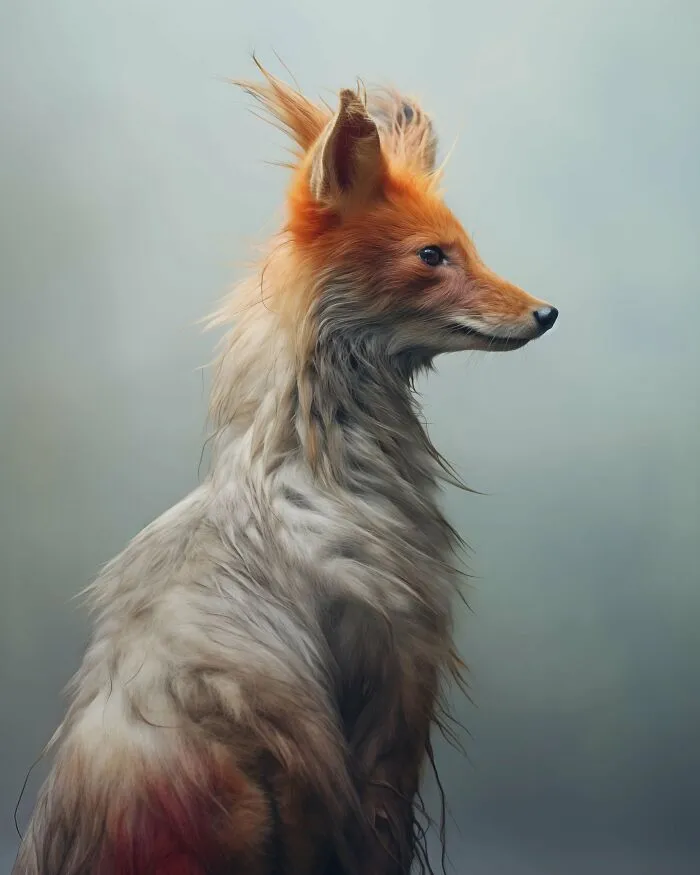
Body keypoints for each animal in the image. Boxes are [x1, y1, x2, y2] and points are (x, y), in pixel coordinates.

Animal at [13, 63, 558, 875]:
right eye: (433, 256)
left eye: (468, 246)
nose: (546, 313)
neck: (322, 469)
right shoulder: (392, 683)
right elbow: (376, 837)